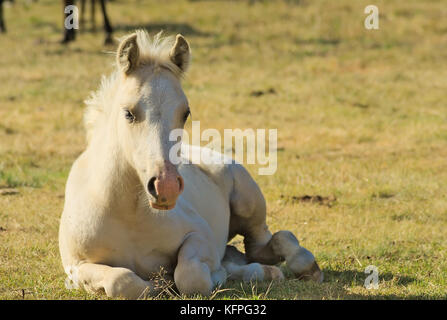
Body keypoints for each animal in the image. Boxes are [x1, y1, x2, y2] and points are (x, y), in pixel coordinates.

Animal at [59, 31, 324, 298]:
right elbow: (122, 281)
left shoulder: (200, 235)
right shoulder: (76, 267)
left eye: (185, 112)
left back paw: (299, 267)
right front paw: (159, 284)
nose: (165, 187)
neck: (127, 216)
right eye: (128, 113)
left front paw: (208, 276)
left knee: (268, 242)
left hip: (249, 204)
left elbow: (191, 276)